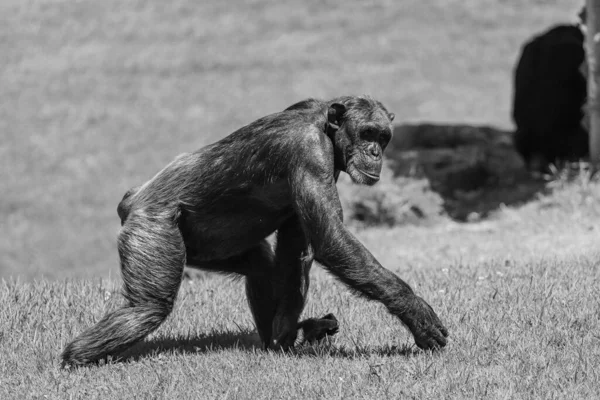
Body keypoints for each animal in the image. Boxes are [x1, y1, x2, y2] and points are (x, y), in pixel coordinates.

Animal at [61, 96, 448, 366]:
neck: (326, 129)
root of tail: (131, 200)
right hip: (152, 228)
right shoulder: (310, 154)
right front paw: (418, 315)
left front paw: (288, 335)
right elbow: (330, 238)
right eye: (367, 132)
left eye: (383, 137)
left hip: (204, 244)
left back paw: (274, 342)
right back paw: (75, 358)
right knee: (148, 306)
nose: (374, 152)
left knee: (260, 264)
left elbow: (296, 247)